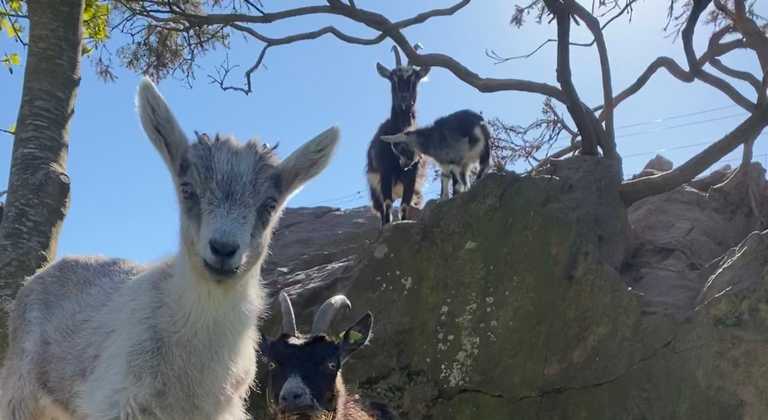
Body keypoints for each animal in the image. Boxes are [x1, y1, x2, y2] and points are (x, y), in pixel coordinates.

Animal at [366, 46, 429, 226]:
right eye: (392, 78)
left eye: (415, 78)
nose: (404, 99)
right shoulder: (385, 172)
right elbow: (387, 206)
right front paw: (387, 227)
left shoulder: (412, 175)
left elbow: (405, 206)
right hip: (374, 187)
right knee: (381, 208)